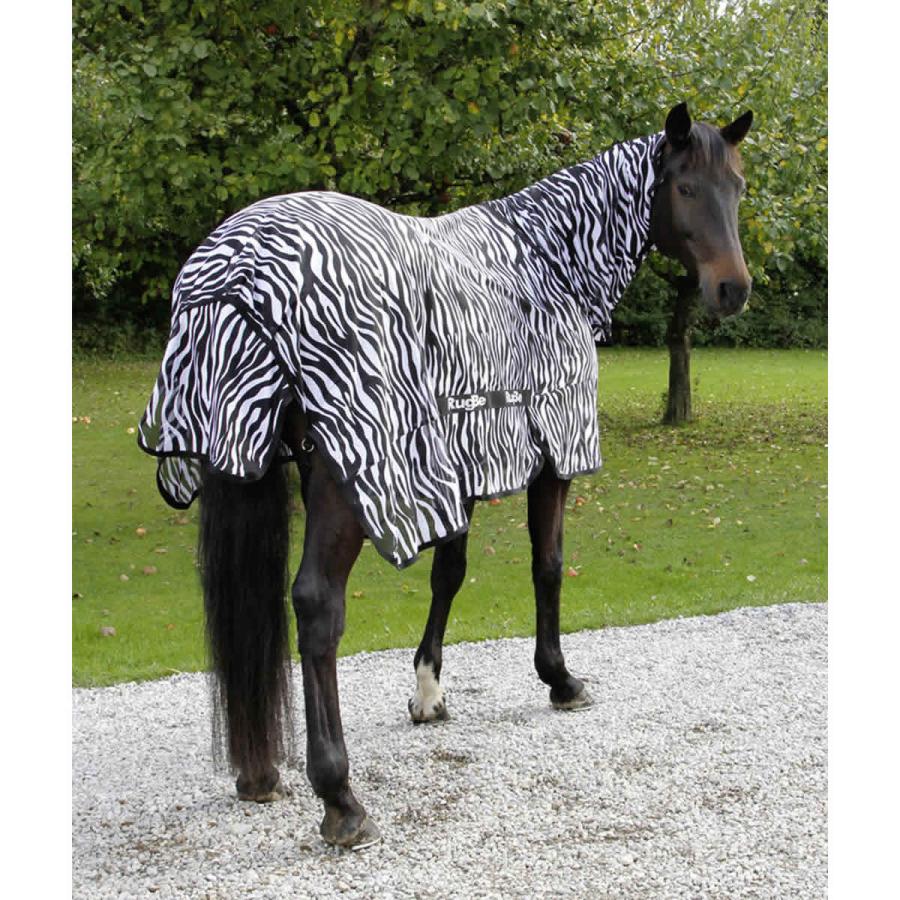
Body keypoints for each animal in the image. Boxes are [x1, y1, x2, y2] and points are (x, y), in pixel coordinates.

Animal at [139, 101, 753, 849]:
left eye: (738, 187)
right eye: (686, 188)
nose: (733, 289)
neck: (545, 262)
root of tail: (235, 270)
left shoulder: (458, 460)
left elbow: (449, 572)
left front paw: (428, 691)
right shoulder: (550, 453)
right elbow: (547, 566)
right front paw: (559, 679)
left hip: (243, 452)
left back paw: (259, 773)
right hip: (346, 477)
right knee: (316, 606)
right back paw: (339, 795)